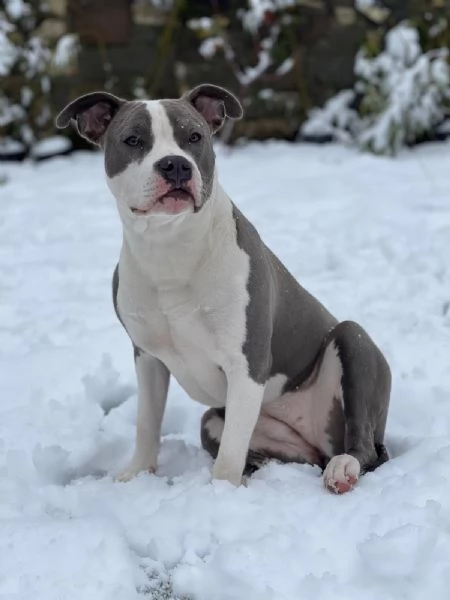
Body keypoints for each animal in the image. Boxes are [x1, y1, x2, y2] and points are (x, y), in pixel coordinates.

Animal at [56, 83, 392, 492]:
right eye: (133, 140)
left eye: (194, 137)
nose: (175, 164)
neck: (171, 247)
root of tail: (320, 442)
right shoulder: (147, 358)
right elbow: (147, 423)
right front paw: (136, 474)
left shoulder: (245, 363)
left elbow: (230, 452)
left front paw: (220, 492)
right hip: (219, 422)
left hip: (353, 344)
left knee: (363, 444)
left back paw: (343, 468)